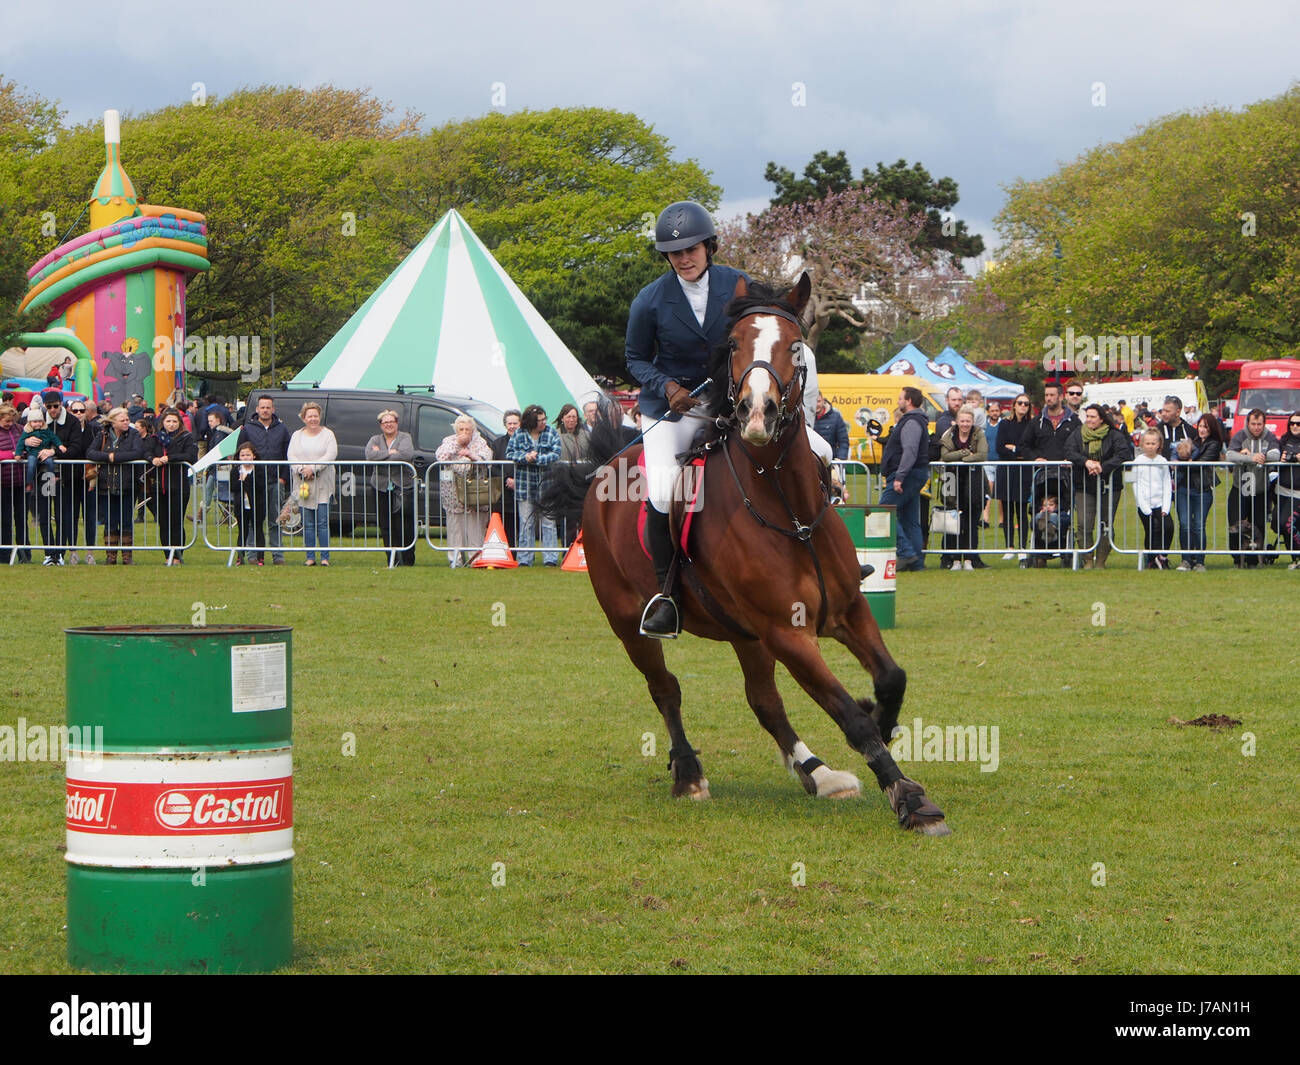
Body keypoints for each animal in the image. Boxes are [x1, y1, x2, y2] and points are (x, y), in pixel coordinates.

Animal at [548, 273, 946, 832]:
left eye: (796, 344)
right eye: (734, 344)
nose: (758, 414)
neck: (790, 512)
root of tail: (604, 467)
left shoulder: (846, 611)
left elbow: (891, 679)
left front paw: (882, 723)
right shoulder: (789, 634)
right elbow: (848, 716)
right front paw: (909, 797)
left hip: (745, 634)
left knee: (763, 701)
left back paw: (820, 775)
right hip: (630, 622)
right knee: (666, 689)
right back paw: (689, 774)